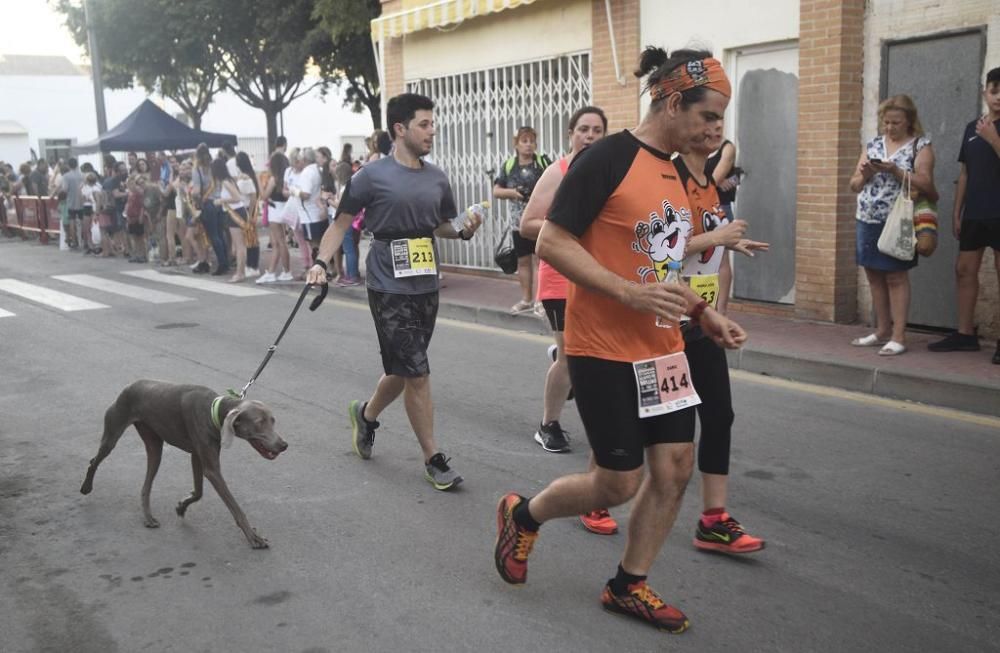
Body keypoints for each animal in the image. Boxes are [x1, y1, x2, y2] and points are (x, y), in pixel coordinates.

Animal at [80, 380, 288, 548]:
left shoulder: (197, 456)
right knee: (94, 461)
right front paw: (253, 537)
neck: (212, 411)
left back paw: (148, 518)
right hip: (113, 432)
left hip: (154, 446)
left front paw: (181, 506)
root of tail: (131, 385)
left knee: (146, 484)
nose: (284, 445)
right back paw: (86, 487)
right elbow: (235, 507)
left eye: (273, 421)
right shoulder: (212, 469)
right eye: (259, 422)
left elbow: (198, 492)